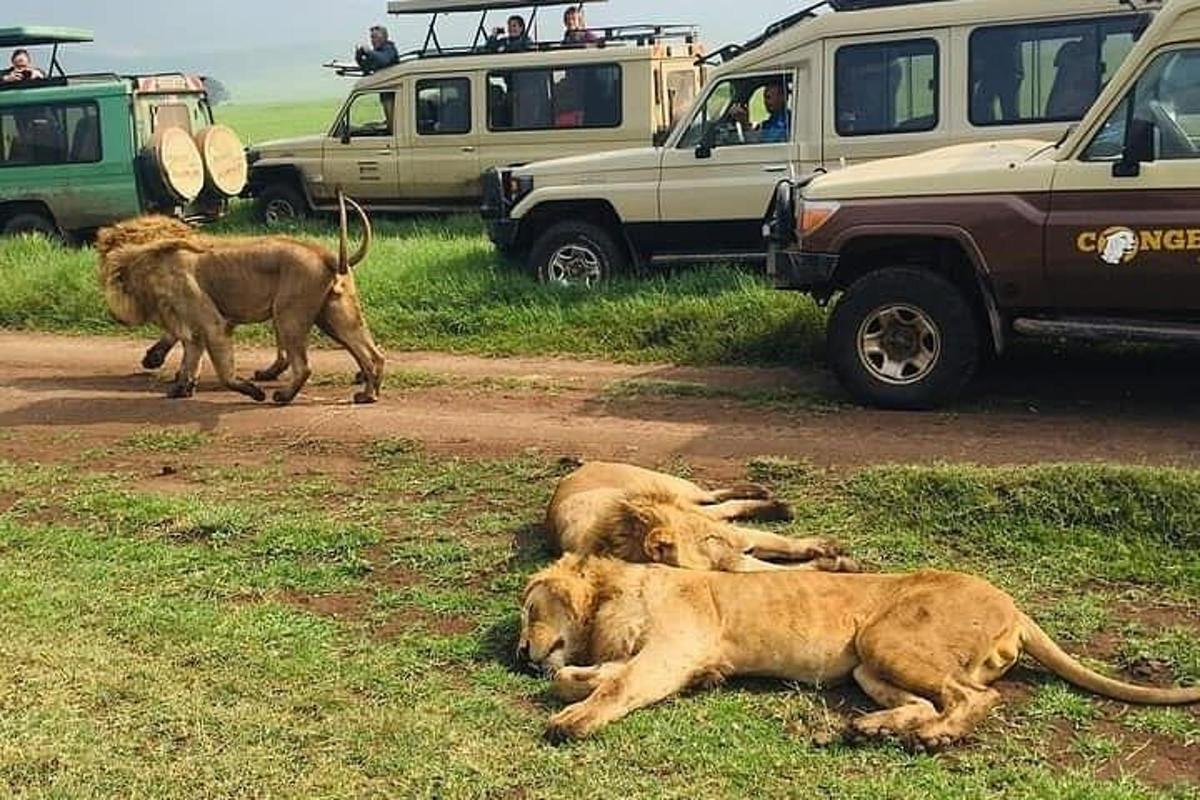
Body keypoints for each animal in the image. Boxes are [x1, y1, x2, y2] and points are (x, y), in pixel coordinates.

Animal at [97, 194, 384, 407]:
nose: (113, 314)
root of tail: (326, 256)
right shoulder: (193, 328)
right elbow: (190, 357)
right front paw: (180, 388)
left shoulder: (212, 323)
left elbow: (224, 374)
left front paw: (253, 392)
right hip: (335, 316)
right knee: (371, 354)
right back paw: (367, 395)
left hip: (288, 313)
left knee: (303, 366)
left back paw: (282, 396)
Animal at [518, 554, 1200, 748]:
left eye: (528, 609)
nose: (522, 652)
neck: (616, 590)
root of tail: (1013, 604)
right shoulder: (659, 658)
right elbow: (581, 674)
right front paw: (571, 681)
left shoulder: (668, 655)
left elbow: (614, 685)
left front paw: (572, 719)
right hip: (871, 667)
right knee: (926, 701)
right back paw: (869, 729)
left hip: (885, 637)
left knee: (971, 698)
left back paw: (934, 739)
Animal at [549, 462, 859, 575]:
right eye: (709, 538)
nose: (748, 546)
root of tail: (577, 469)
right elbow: (782, 570)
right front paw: (835, 562)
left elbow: (782, 543)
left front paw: (826, 547)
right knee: (726, 506)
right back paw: (773, 503)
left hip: (676, 487)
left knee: (714, 497)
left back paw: (767, 497)